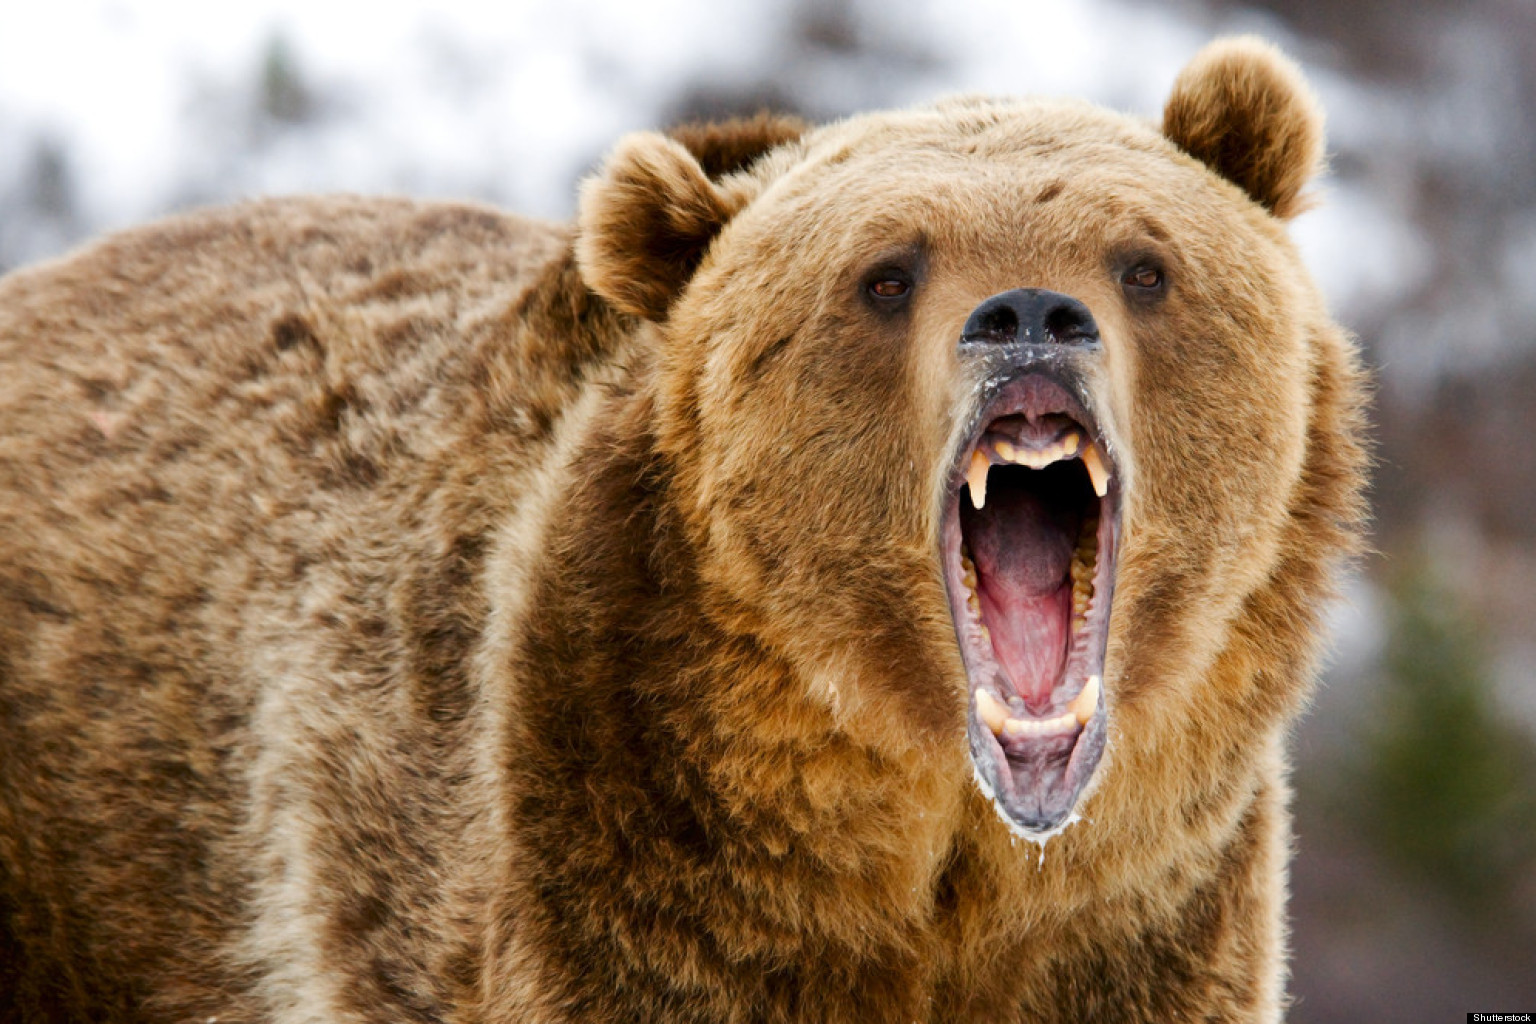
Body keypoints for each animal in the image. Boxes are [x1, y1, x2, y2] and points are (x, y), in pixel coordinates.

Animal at [0, 36, 1370, 1024]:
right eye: (887, 273)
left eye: (1143, 264)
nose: (1030, 314)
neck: (948, 844)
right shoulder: (626, 851)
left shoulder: (1143, 915)